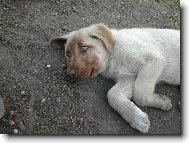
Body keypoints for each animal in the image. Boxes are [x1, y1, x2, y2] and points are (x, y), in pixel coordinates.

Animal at [49, 23, 180, 133]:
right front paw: (136, 118)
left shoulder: (154, 59)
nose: (68, 74)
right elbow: (113, 95)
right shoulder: (128, 78)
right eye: (68, 54)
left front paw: (161, 102)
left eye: (84, 48)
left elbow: (140, 94)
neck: (113, 57)